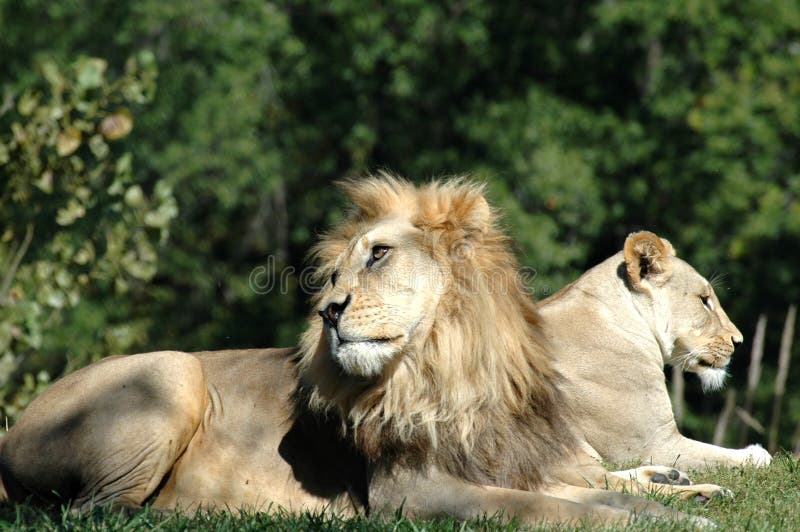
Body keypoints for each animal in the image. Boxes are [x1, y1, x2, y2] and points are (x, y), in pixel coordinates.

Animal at [0, 178, 720, 524]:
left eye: (377, 255)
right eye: (336, 270)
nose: (328, 311)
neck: (451, 367)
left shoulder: (517, 462)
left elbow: (598, 492)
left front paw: (682, 500)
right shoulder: (414, 494)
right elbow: (557, 509)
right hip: (172, 371)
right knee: (98, 510)